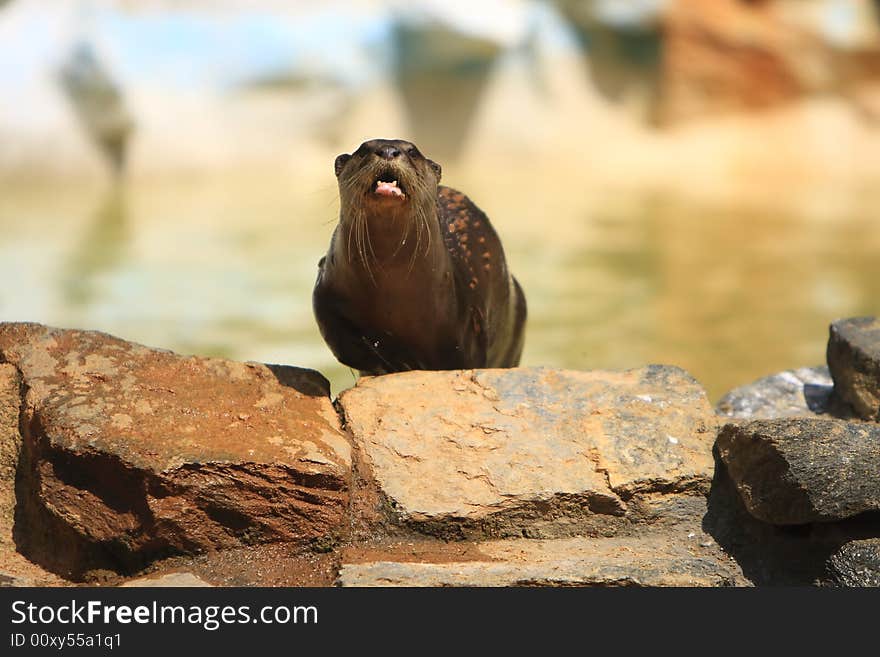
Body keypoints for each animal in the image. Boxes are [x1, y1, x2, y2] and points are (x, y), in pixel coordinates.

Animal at [312, 138, 524, 374]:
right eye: (364, 149)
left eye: (412, 151)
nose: (388, 150)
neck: (390, 287)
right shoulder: (326, 293)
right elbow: (345, 341)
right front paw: (393, 360)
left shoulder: (465, 326)